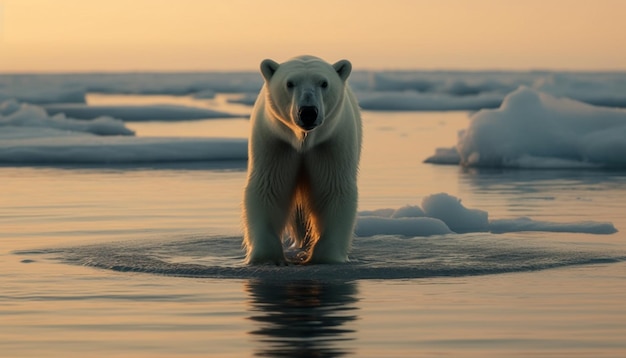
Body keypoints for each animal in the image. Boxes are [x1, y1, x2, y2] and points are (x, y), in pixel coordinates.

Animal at [243, 54, 360, 264]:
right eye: (290, 83)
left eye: (324, 83)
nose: (308, 112)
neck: (302, 140)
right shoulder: (276, 143)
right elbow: (269, 189)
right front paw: (267, 257)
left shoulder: (329, 144)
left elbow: (334, 189)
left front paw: (326, 256)